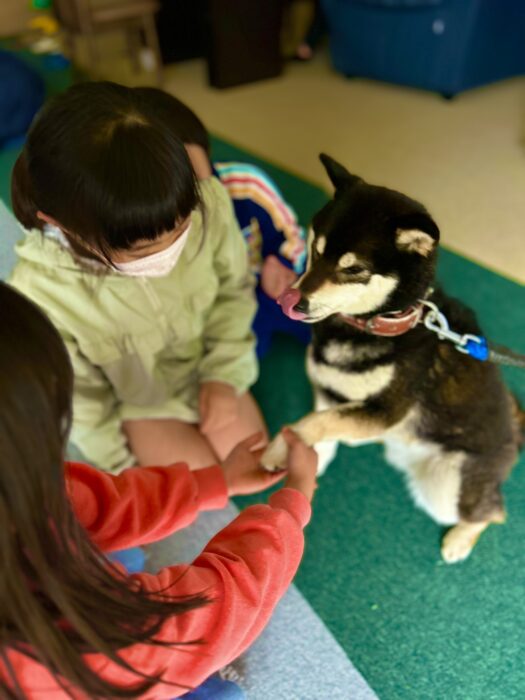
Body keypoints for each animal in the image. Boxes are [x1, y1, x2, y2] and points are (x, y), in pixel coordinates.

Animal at [264, 154, 520, 564]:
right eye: (316, 249)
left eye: (353, 269)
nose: (294, 301)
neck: (381, 325)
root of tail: (513, 439)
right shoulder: (329, 391)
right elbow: (321, 421)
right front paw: (309, 458)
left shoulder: (387, 410)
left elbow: (313, 423)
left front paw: (278, 447)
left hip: (445, 487)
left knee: (493, 511)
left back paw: (460, 540)